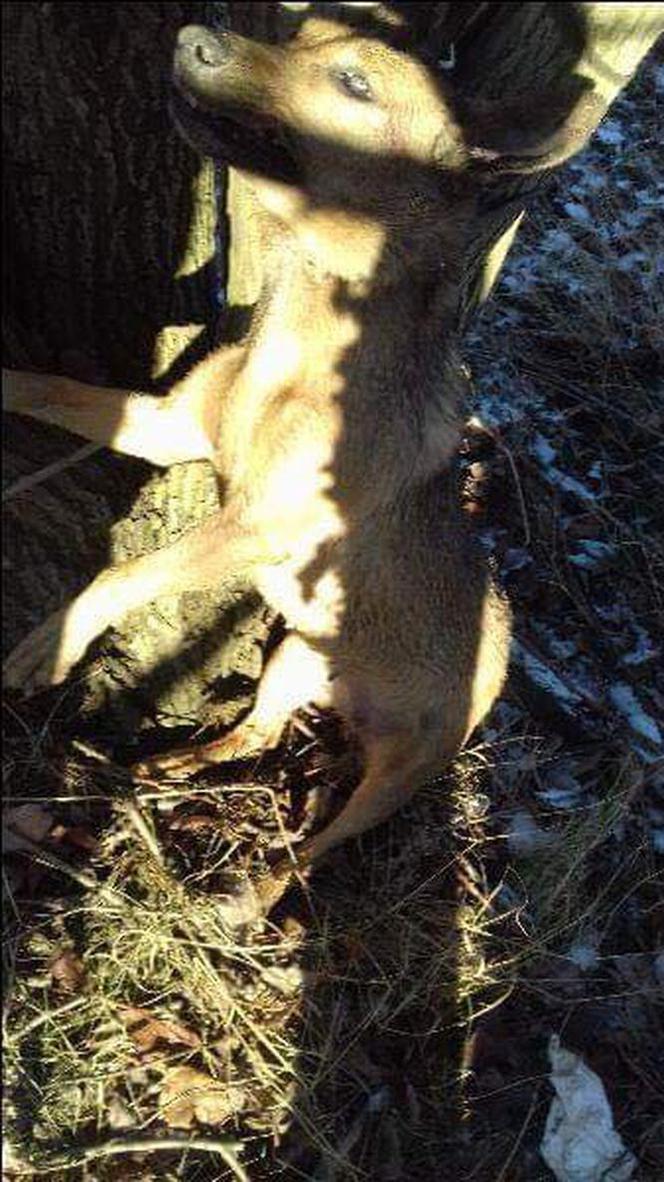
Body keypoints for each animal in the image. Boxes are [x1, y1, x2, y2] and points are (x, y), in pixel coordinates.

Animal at [2, 13, 515, 898]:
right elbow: (48, 388)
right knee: (255, 735)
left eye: (354, 83)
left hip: (403, 770)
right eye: (305, 35)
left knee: (314, 849)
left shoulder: (257, 525)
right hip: (291, 661)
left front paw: (55, 640)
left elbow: (121, 574)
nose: (193, 37)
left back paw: (252, 898)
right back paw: (169, 769)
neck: (302, 329)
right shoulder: (165, 426)